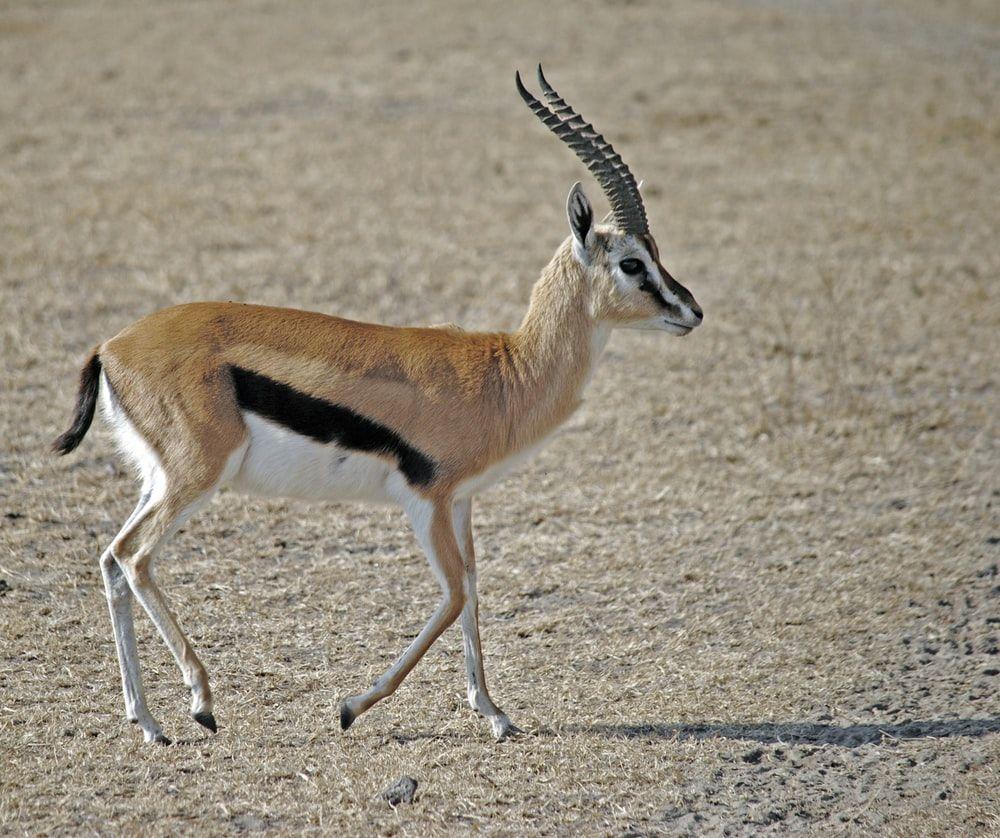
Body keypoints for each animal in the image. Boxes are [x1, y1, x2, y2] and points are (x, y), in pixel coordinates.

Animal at [54, 67, 703, 745]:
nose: (692, 311)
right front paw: (351, 706)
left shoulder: (461, 501)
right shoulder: (426, 500)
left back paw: (147, 720)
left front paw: (494, 712)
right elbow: (452, 596)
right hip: (197, 476)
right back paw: (200, 702)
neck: (505, 371)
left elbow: (473, 590)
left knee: (111, 559)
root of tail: (111, 346)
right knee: (135, 557)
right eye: (632, 262)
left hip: (159, 479)